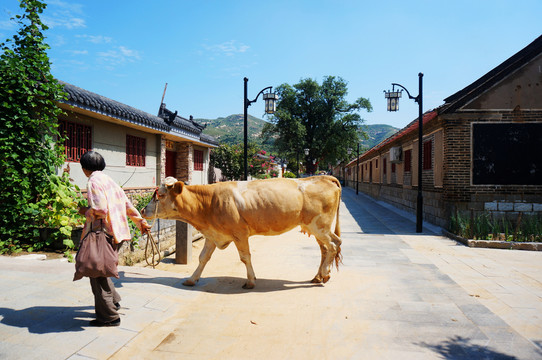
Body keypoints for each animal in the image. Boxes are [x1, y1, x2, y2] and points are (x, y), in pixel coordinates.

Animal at [142, 175, 342, 290]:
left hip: (319, 225)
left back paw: (324, 273)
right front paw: (192, 279)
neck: (208, 203)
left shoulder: (240, 233)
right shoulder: (212, 235)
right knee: (327, 248)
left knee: (333, 245)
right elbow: (203, 258)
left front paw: (251, 281)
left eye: (160, 195)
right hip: (317, 228)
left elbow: (245, 257)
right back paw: (319, 276)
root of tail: (323, 177)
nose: (143, 211)